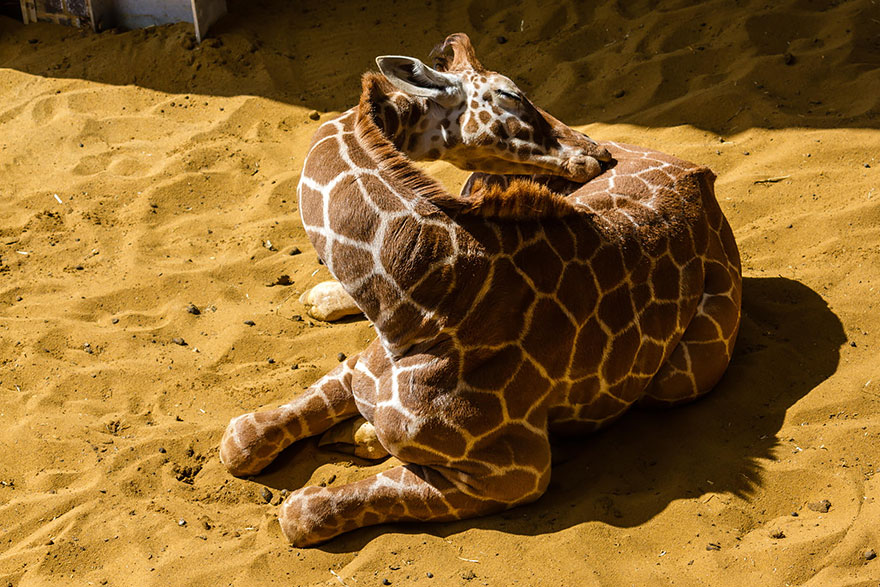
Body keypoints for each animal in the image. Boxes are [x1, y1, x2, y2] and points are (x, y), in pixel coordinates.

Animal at [219, 33, 742, 547]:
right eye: (513, 95)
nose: (597, 153)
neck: (414, 300)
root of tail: (701, 174)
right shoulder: (361, 367)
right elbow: (240, 440)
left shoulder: (516, 471)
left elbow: (303, 511)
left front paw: (358, 440)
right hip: (480, 182)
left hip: (681, 379)